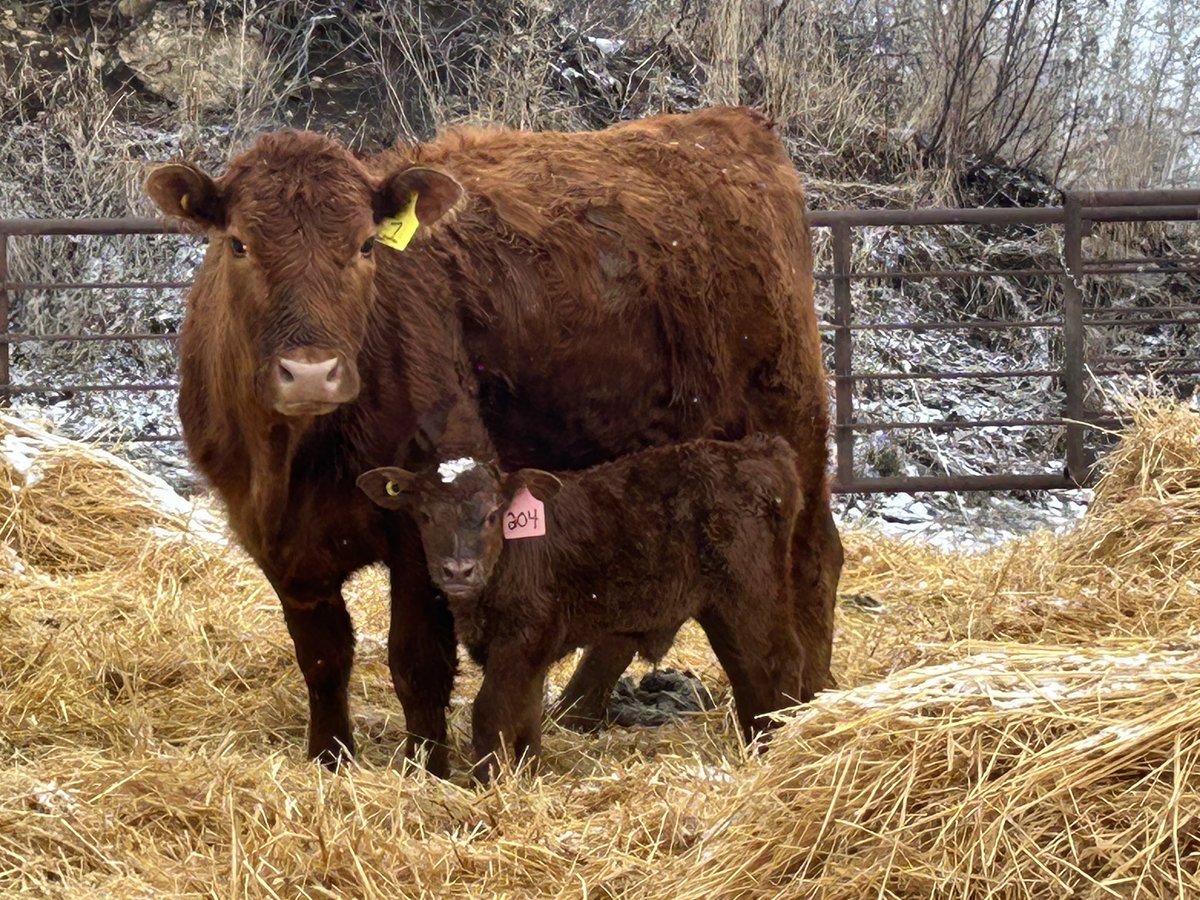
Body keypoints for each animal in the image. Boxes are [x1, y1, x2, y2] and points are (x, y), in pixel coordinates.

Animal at [357, 434, 805, 783]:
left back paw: (773, 750)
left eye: (493, 514)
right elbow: (526, 716)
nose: (457, 569)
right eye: (425, 515)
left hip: (751, 593)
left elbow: (490, 711)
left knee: (774, 666)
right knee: (751, 672)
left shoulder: (524, 635)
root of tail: (762, 449)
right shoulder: (527, 653)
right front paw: (527, 776)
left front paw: (487, 784)